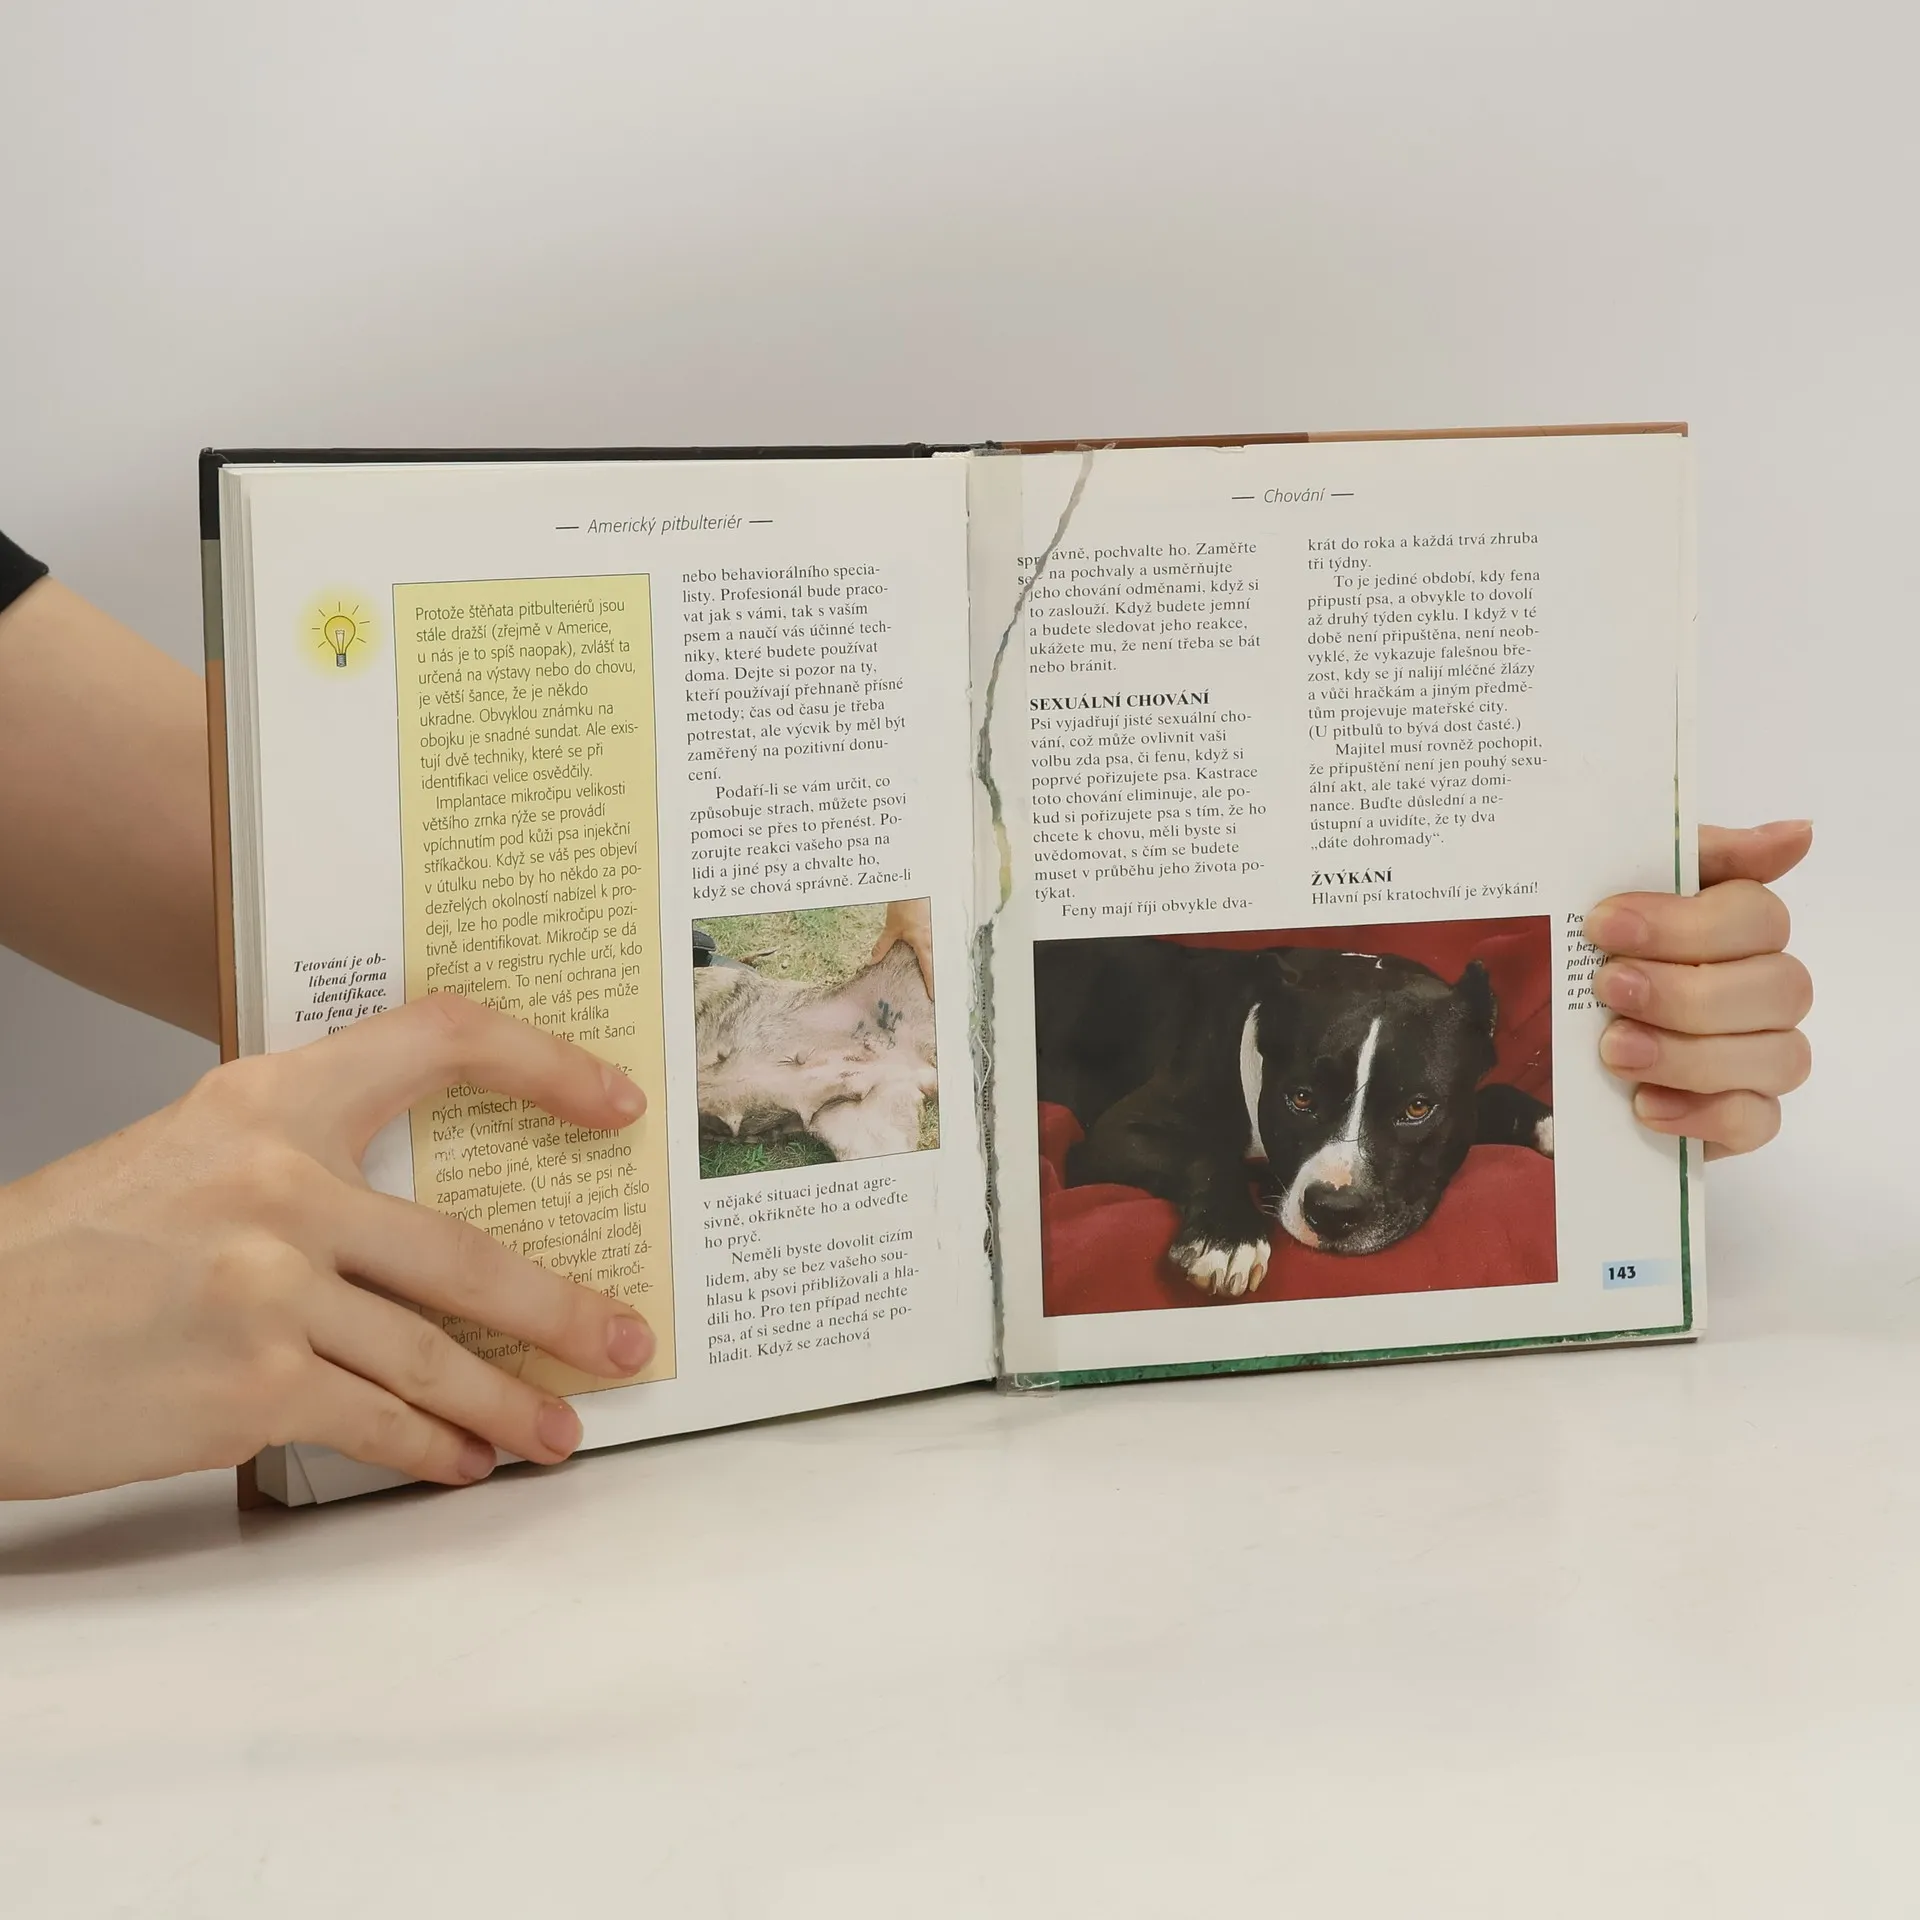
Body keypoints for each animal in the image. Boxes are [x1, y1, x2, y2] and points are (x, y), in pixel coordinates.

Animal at [1033, 936, 1552, 1297]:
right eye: (1301, 1099)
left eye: (1418, 1108)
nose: (1334, 1212)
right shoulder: (1113, 1134)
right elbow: (1202, 1156)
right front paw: (1227, 1239)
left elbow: (1496, 1094)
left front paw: (1547, 1121)